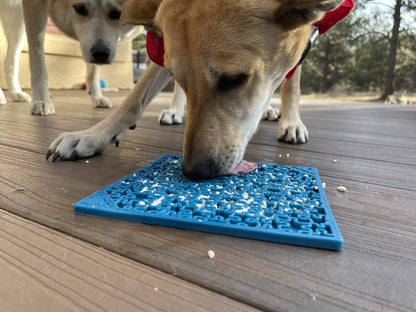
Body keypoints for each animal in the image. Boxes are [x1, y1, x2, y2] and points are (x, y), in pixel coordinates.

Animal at [47, 0, 342, 180]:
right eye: (183, 79)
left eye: (234, 79)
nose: (192, 171)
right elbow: (135, 98)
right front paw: (93, 135)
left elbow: (293, 83)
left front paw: (292, 122)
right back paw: (174, 111)